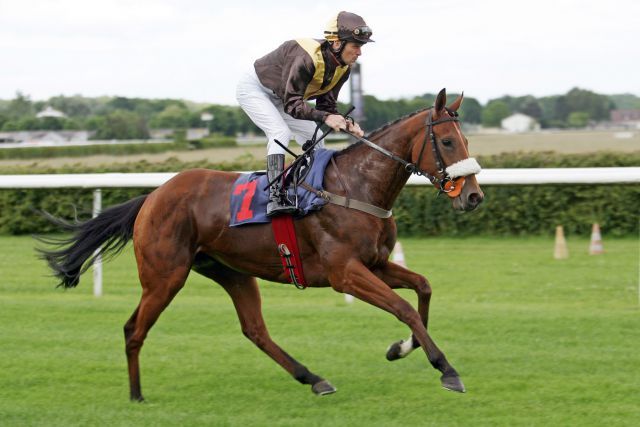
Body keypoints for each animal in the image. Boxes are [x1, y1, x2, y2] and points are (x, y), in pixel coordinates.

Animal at [40, 88, 482, 402]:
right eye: (446, 142)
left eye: (466, 139)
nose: (474, 196)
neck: (356, 187)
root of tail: (152, 196)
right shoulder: (346, 273)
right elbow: (404, 307)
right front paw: (446, 369)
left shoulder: (375, 264)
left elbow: (423, 288)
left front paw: (402, 348)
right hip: (165, 275)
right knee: (134, 328)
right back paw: (136, 394)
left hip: (230, 271)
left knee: (254, 330)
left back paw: (314, 378)